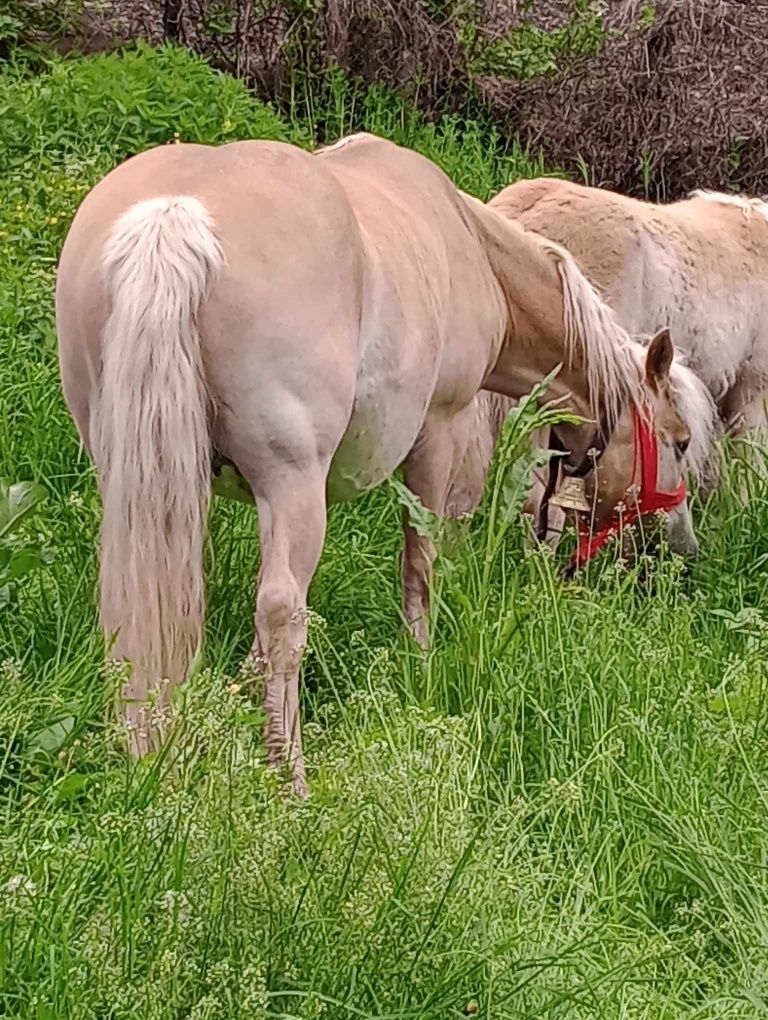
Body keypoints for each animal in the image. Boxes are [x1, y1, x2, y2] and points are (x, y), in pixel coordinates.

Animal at [56, 131, 693, 791]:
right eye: (680, 441)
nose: (678, 549)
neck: (475, 249)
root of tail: (174, 216)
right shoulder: (438, 436)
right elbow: (421, 564)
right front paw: (421, 667)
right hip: (292, 486)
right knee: (283, 614)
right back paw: (291, 778)